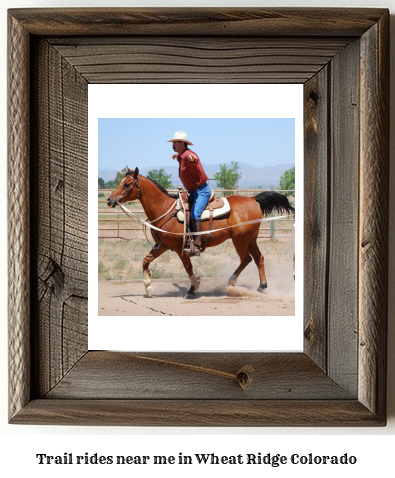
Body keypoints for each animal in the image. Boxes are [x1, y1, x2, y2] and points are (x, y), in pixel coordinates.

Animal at [106, 166, 296, 296]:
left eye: (127, 184)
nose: (109, 199)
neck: (165, 209)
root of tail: (253, 199)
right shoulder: (163, 245)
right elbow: (145, 261)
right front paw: (148, 286)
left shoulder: (180, 248)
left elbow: (188, 267)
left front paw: (192, 288)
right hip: (251, 239)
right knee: (258, 258)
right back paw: (261, 286)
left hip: (240, 240)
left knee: (246, 259)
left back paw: (232, 282)